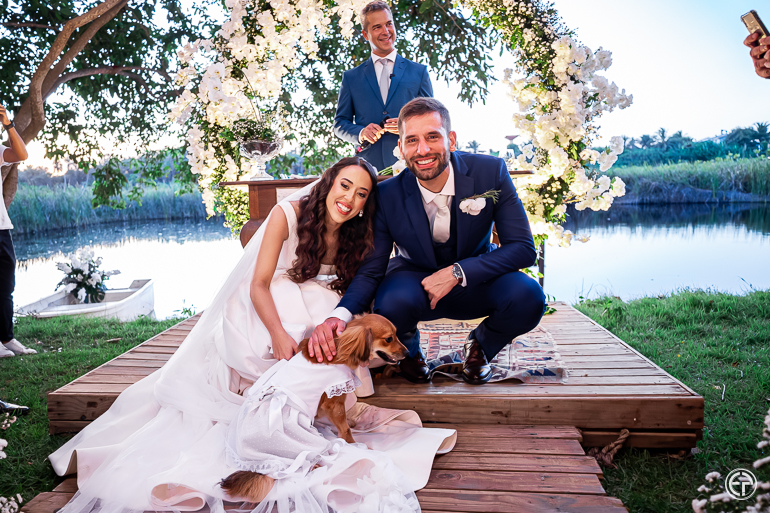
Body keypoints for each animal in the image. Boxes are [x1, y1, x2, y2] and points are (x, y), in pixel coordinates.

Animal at [220, 314, 408, 503]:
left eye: (396, 334)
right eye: (389, 339)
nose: (407, 353)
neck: (340, 348)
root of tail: (257, 466)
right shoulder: (334, 403)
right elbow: (345, 429)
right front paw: (354, 445)